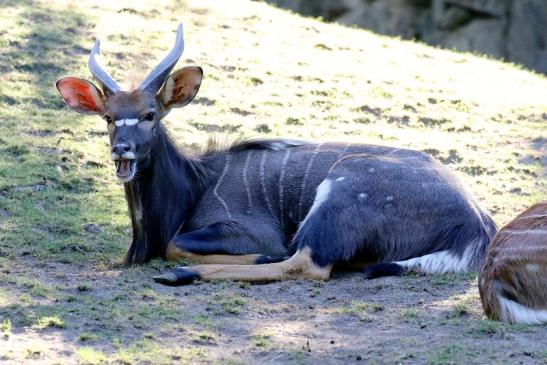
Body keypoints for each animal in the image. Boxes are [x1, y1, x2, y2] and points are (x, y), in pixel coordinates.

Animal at [54, 23, 496, 284]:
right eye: (109, 117)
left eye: (150, 114)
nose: (122, 151)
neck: (196, 185)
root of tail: (475, 222)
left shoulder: (248, 228)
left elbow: (174, 245)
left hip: (340, 188)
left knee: (308, 263)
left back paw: (186, 273)